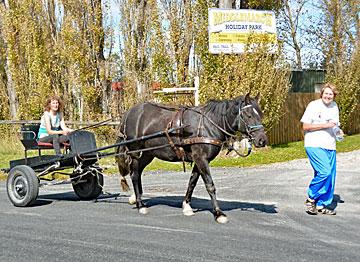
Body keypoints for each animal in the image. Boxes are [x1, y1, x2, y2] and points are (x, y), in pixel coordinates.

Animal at [115, 94, 268, 223]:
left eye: (261, 114)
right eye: (248, 115)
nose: (262, 140)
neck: (209, 124)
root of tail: (129, 112)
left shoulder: (199, 160)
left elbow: (192, 182)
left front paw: (187, 206)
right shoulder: (201, 158)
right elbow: (210, 185)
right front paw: (219, 213)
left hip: (148, 153)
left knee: (138, 172)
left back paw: (136, 198)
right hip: (135, 152)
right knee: (135, 175)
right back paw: (141, 205)